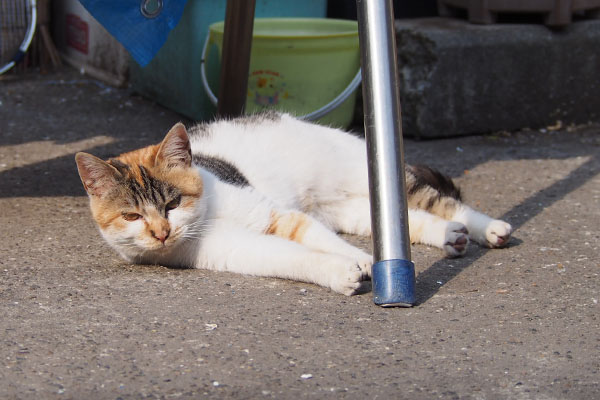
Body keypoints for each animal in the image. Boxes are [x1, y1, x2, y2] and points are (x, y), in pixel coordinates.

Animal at [75, 111, 512, 296]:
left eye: (172, 203)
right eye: (132, 215)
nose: (162, 232)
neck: (207, 215)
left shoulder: (276, 215)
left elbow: (324, 241)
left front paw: (365, 263)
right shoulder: (239, 249)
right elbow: (295, 258)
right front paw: (340, 273)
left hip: (366, 175)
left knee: (435, 200)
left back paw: (488, 228)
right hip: (348, 209)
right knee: (409, 217)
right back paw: (451, 236)